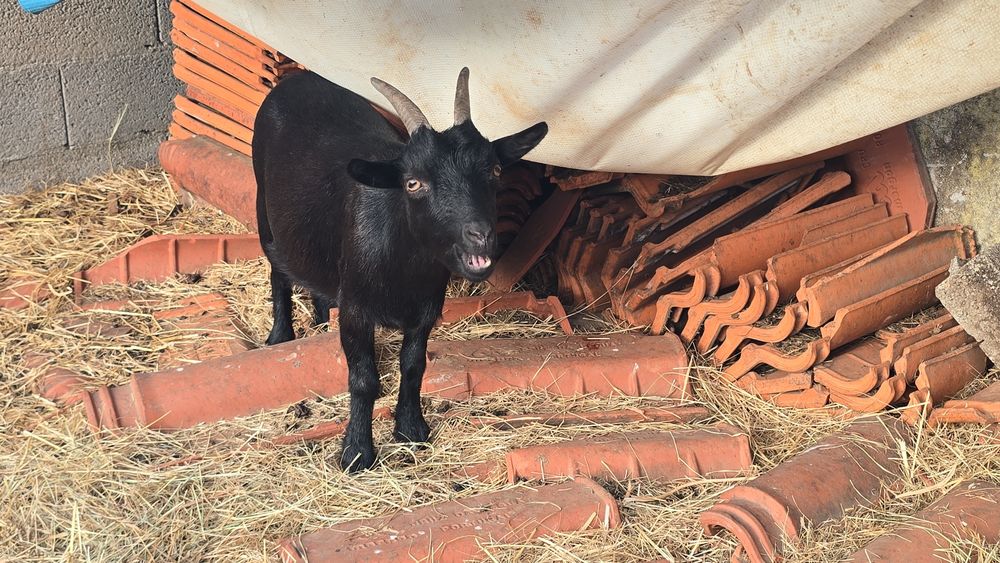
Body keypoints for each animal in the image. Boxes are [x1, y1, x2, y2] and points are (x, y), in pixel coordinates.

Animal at [253, 68, 548, 471]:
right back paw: (281, 334)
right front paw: (357, 451)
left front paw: (411, 429)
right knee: (277, 269)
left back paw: (319, 315)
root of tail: (295, 79)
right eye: (413, 182)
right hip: (264, 207)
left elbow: (413, 365)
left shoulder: (426, 310)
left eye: (496, 170)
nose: (481, 236)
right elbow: (363, 379)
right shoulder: (356, 310)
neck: (403, 267)